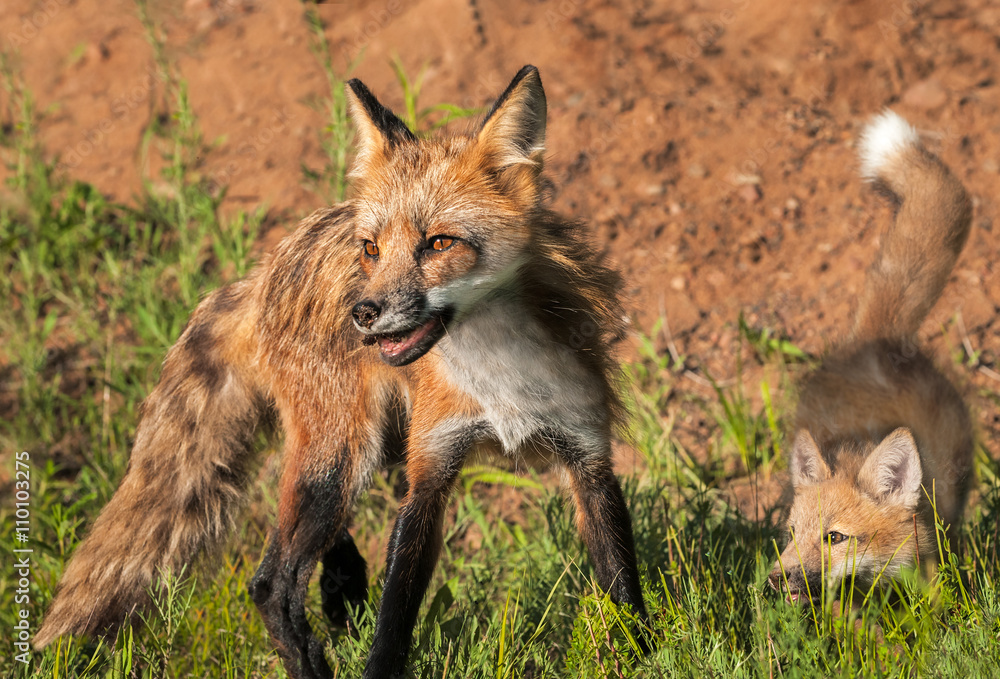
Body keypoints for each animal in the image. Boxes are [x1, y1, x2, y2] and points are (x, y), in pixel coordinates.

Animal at [33, 67, 648, 679]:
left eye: (439, 243)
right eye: (372, 249)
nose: (363, 313)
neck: (499, 379)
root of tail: (262, 274)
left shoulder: (588, 456)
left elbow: (623, 591)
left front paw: (641, 656)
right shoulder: (429, 471)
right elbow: (395, 617)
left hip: (369, 448)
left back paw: (343, 583)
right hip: (343, 452)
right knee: (271, 584)